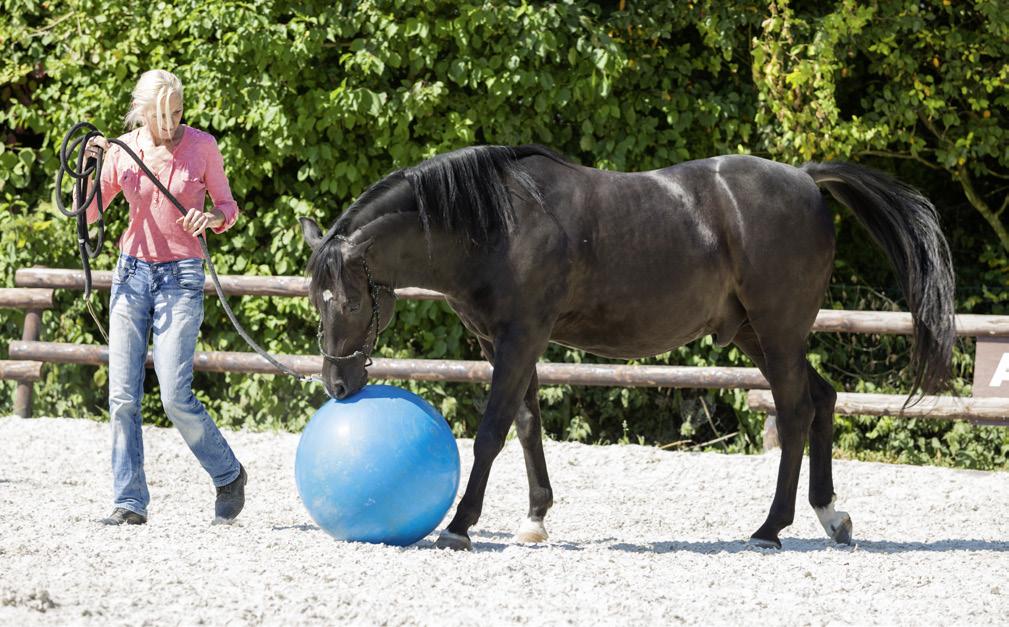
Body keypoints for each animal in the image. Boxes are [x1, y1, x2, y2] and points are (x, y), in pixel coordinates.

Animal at [296, 145, 952, 549]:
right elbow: (528, 426)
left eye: (348, 303)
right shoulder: (501, 342)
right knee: (822, 399)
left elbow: (490, 432)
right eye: (313, 299)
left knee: (794, 412)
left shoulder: (520, 337)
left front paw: (460, 525)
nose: (337, 384)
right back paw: (830, 514)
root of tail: (806, 178)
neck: (496, 223)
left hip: (778, 329)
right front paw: (535, 520)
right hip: (758, 335)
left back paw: (770, 528)